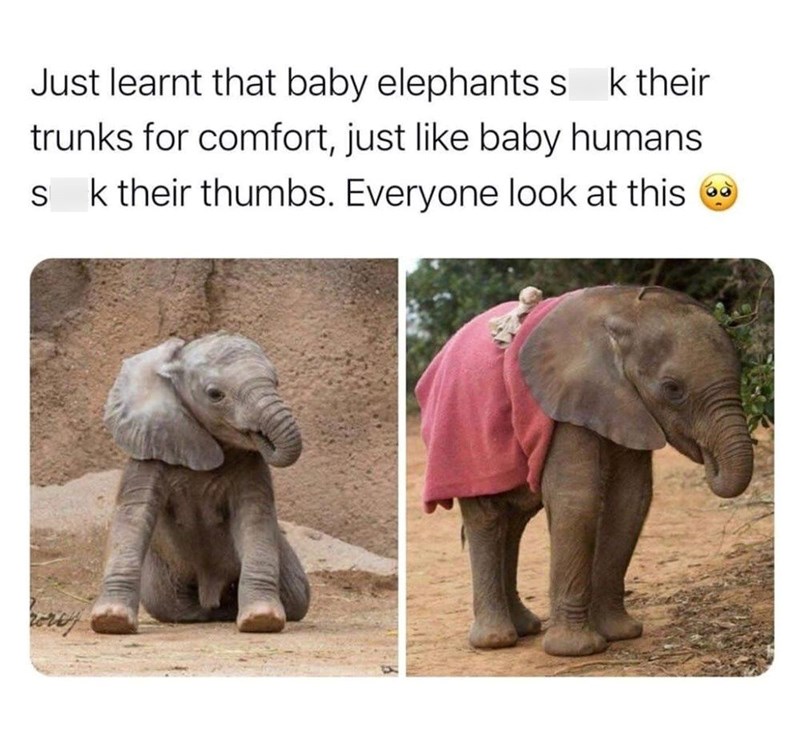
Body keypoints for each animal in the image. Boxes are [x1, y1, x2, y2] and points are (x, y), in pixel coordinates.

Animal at [90, 333, 310, 634]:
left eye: (276, 382)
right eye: (215, 394)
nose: (262, 436)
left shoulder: (251, 463)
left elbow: (255, 518)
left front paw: (261, 619)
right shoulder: (149, 446)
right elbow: (133, 515)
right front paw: (111, 621)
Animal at [416, 285, 754, 657]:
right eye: (672, 389)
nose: (709, 458)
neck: (624, 314)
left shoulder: (625, 403)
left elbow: (630, 499)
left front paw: (621, 634)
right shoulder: (568, 398)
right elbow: (577, 499)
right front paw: (577, 650)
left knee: (515, 521)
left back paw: (525, 628)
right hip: (462, 443)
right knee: (488, 517)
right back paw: (496, 641)